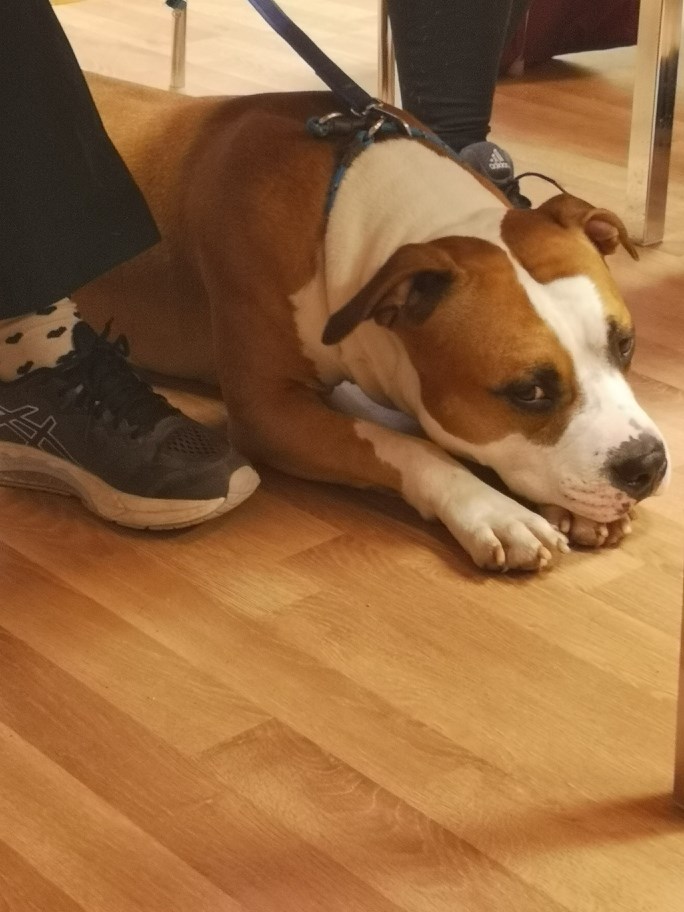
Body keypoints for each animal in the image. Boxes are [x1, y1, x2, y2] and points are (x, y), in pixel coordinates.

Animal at [76, 75, 670, 572]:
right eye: (529, 392)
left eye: (625, 345)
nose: (648, 463)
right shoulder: (268, 410)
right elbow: (404, 445)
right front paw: (493, 510)